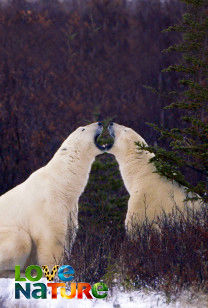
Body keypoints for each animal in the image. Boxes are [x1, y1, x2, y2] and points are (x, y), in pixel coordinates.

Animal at [0, 121, 104, 276]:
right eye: (83, 128)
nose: (100, 122)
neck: (61, 183)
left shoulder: (69, 209)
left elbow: (68, 237)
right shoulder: (48, 205)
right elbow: (51, 241)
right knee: (20, 239)